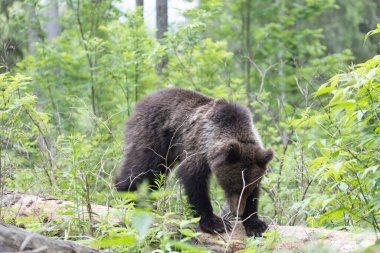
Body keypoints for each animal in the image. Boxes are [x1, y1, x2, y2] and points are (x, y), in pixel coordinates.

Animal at [116, 88, 274, 236]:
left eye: (247, 190)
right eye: (233, 188)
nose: (237, 212)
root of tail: (142, 101)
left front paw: (255, 225)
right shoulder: (198, 146)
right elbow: (195, 182)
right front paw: (215, 223)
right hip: (154, 135)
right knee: (142, 167)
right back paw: (128, 197)